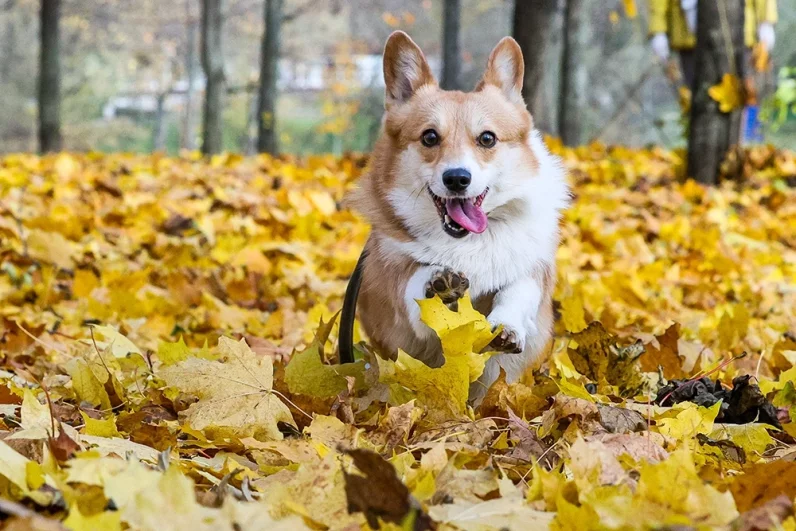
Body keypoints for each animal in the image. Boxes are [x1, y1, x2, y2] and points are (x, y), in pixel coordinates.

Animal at [338, 31, 568, 402]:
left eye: (487, 138)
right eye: (430, 136)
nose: (457, 178)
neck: (470, 241)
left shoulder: (535, 269)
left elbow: (517, 290)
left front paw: (506, 325)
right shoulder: (393, 280)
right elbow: (413, 286)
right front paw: (437, 283)